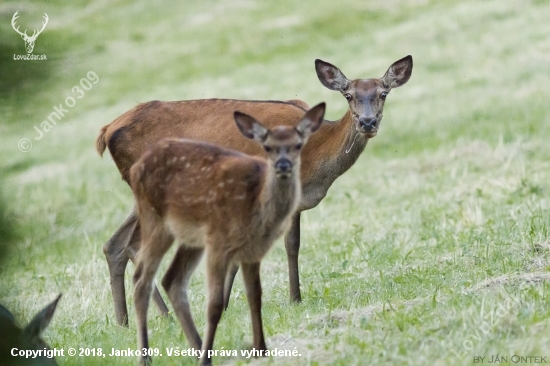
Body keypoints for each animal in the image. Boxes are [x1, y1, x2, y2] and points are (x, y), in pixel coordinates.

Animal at [97, 55, 414, 326]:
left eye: (383, 93)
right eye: (348, 95)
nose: (367, 122)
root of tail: (106, 130)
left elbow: (291, 245)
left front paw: (282, 299)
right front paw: (279, 300)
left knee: (116, 243)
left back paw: (129, 321)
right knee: (134, 244)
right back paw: (159, 317)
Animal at [131, 103, 326, 366]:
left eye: (298, 145)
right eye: (267, 147)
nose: (283, 165)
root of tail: (135, 168)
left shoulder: (252, 251)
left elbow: (255, 296)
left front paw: (260, 350)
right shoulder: (219, 244)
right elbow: (214, 305)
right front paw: (210, 358)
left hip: (191, 236)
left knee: (172, 279)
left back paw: (196, 348)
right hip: (155, 221)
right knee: (142, 280)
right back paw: (148, 358)